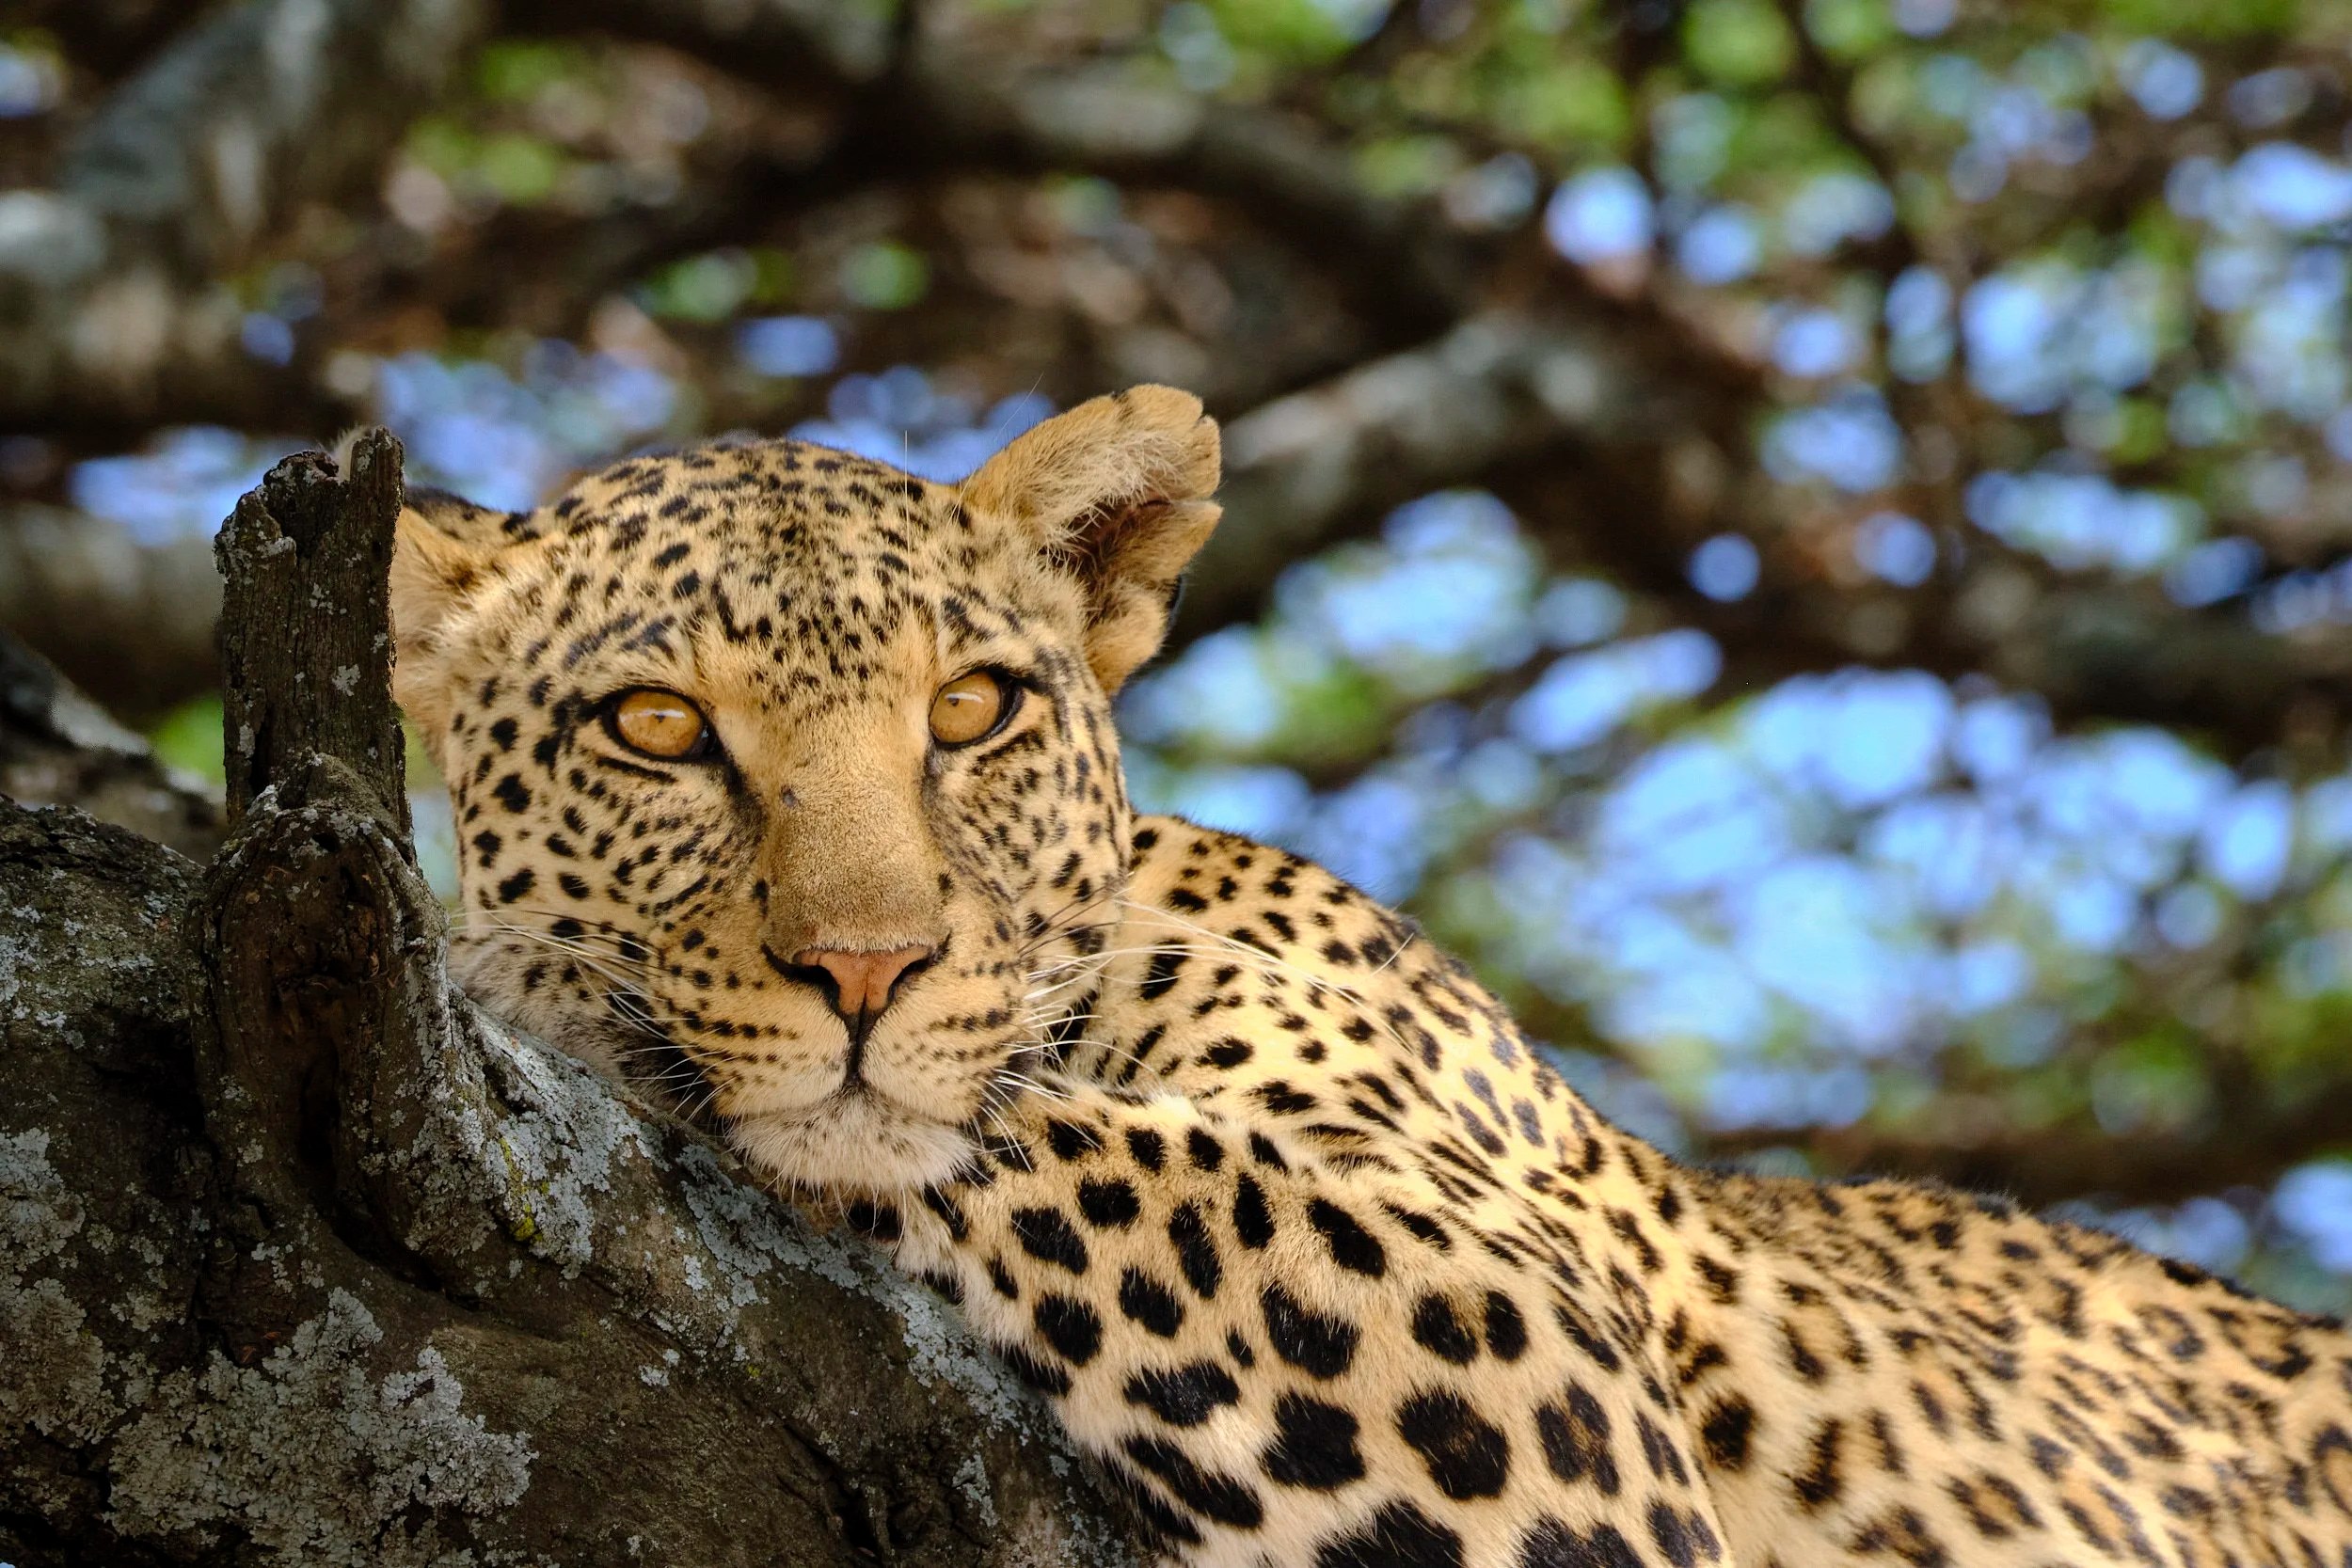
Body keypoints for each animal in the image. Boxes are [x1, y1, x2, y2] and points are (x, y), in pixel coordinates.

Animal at [385, 385, 2352, 1568]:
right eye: (655, 729)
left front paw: (518, 996)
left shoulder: (1519, 1330)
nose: (867, 968)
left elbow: (1055, 1138)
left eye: (972, 710)